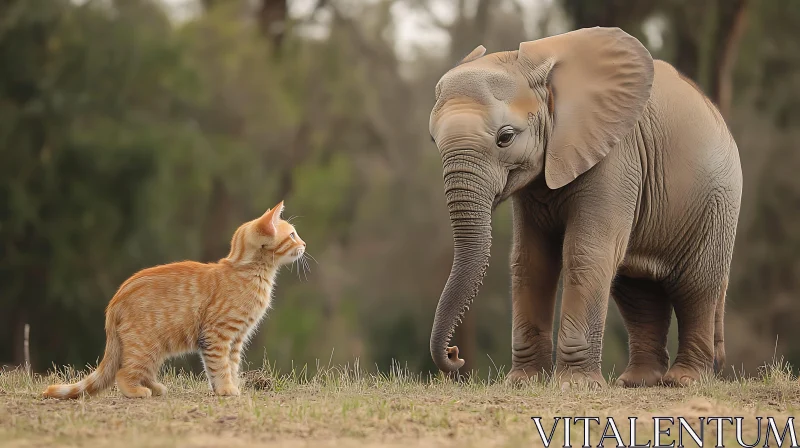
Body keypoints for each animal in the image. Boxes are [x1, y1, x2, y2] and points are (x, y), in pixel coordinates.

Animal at [44, 201, 306, 398]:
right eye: (293, 235)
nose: (304, 244)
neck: (248, 271)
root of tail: (115, 300)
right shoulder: (217, 334)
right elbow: (220, 365)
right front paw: (226, 389)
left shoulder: (236, 339)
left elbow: (230, 365)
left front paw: (230, 385)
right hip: (144, 345)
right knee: (123, 373)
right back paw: (137, 391)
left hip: (155, 349)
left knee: (143, 372)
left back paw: (156, 387)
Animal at [428, 26, 740, 386]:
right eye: (433, 141)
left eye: (505, 137)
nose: (455, 356)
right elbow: (530, 261)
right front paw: (524, 382)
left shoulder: (616, 157)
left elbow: (585, 253)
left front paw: (574, 385)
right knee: (637, 293)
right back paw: (637, 381)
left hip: (718, 203)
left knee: (697, 287)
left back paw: (683, 380)